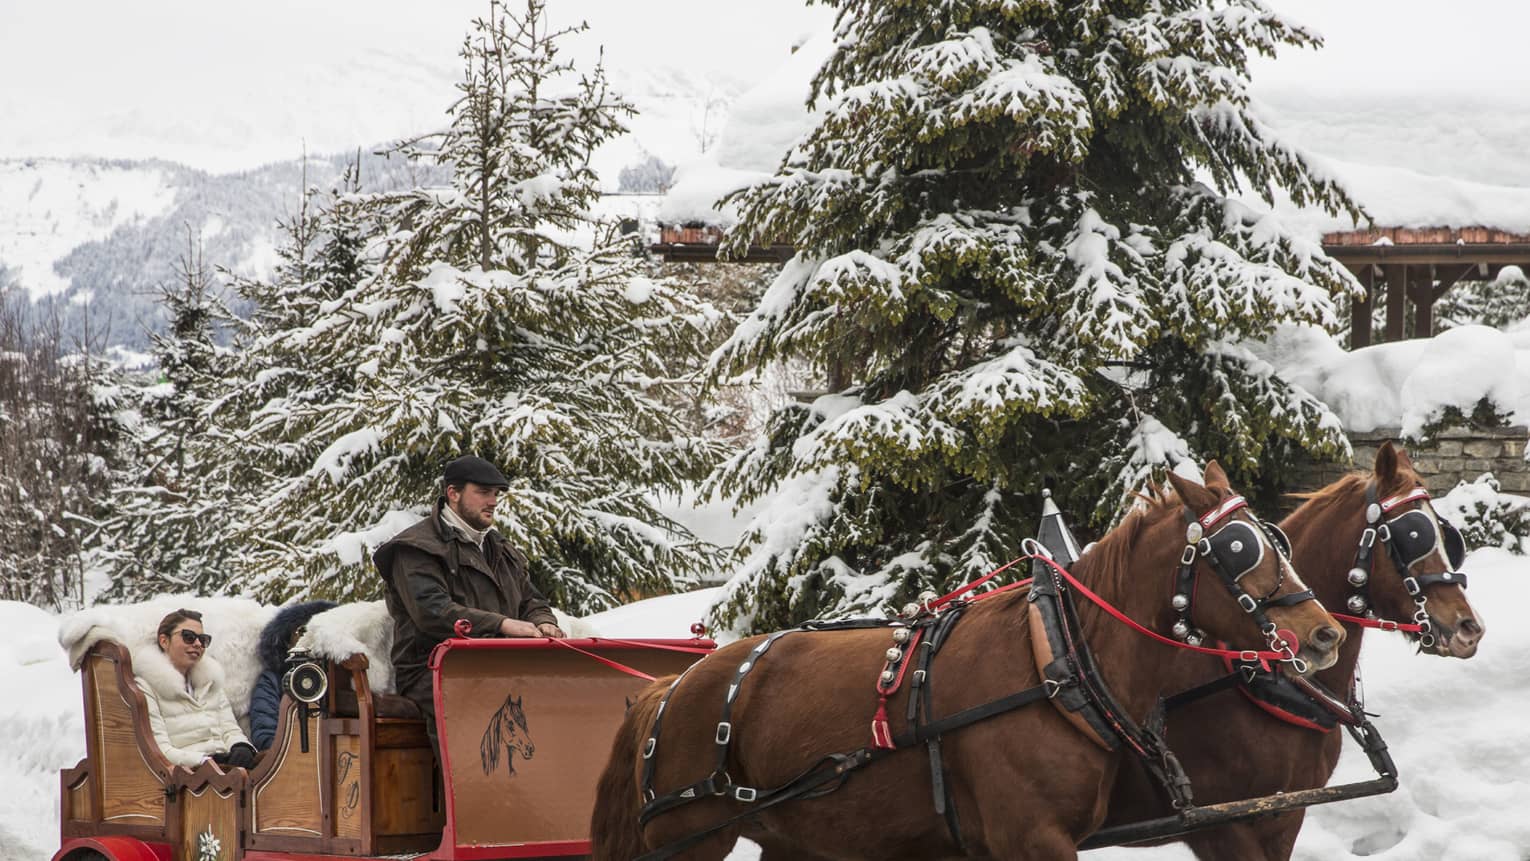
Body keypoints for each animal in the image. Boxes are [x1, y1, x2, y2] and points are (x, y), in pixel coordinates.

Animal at [591, 464, 1346, 860]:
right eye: (1238, 550)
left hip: (792, 838)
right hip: (686, 840)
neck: (1056, 664)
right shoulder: (1031, 838)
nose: (1323, 634)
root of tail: (672, 688)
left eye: (1276, 537)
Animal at [1103, 441, 1485, 859]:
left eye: (1447, 536)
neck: (1253, 680)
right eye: (1413, 533)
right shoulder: (1221, 827)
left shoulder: (1288, 814)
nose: (1470, 629)